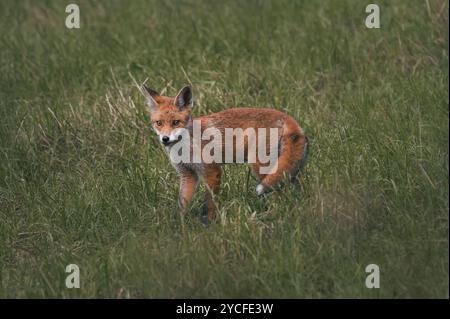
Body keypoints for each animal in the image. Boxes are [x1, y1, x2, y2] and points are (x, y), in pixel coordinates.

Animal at [142, 85, 310, 225]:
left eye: (176, 122)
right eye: (158, 123)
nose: (165, 139)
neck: (186, 146)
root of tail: (285, 116)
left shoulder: (212, 171)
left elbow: (210, 203)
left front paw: (209, 225)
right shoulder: (188, 174)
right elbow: (183, 202)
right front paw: (181, 225)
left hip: (261, 166)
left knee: (281, 194)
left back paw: (275, 216)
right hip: (285, 168)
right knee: (296, 187)